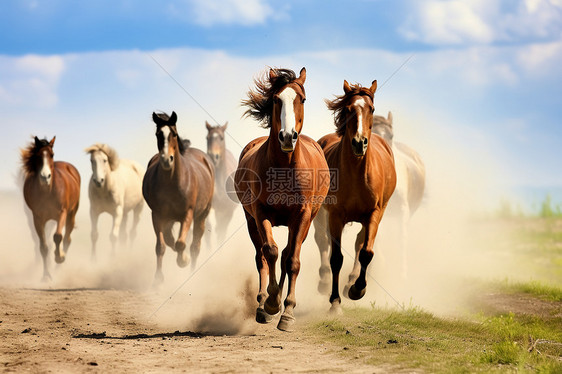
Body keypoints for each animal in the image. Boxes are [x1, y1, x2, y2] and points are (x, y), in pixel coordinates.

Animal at [20, 137, 80, 280]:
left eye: (52, 155)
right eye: (37, 156)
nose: (45, 177)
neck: (47, 191)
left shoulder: (62, 213)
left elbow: (57, 236)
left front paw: (59, 257)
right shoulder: (37, 218)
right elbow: (43, 247)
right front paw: (46, 276)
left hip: (71, 214)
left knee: (67, 239)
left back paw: (60, 265)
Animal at [142, 111, 214, 284]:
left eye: (174, 134)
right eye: (158, 134)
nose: (166, 160)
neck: (173, 182)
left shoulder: (187, 214)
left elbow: (181, 243)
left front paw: (183, 261)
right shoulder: (158, 215)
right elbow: (161, 246)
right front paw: (158, 279)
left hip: (201, 215)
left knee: (195, 245)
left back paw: (191, 271)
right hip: (169, 219)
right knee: (170, 240)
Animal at [235, 67, 330, 330]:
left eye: (302, 99)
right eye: (277, 99)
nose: (287, 137)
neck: (283, 169)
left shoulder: (302, 216)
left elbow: (292, 260)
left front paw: (287, 312)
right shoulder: (260, 214)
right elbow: (270, 252)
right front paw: (270, 304)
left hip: (303, 222)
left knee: (288, 253)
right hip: (250, 221)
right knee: (261, 257)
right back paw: (261, 304)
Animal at [312, 80, 396, 314]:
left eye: (372, 109)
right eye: (349, 109)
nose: (360, 143)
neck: (357, 173)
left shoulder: (375, 213)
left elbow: (366, 251)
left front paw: (357, 289)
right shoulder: (335, 215)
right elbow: (336, 258)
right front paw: (334, 302)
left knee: (359, 242)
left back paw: (350, 280)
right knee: (322, 241)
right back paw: (324, 282)